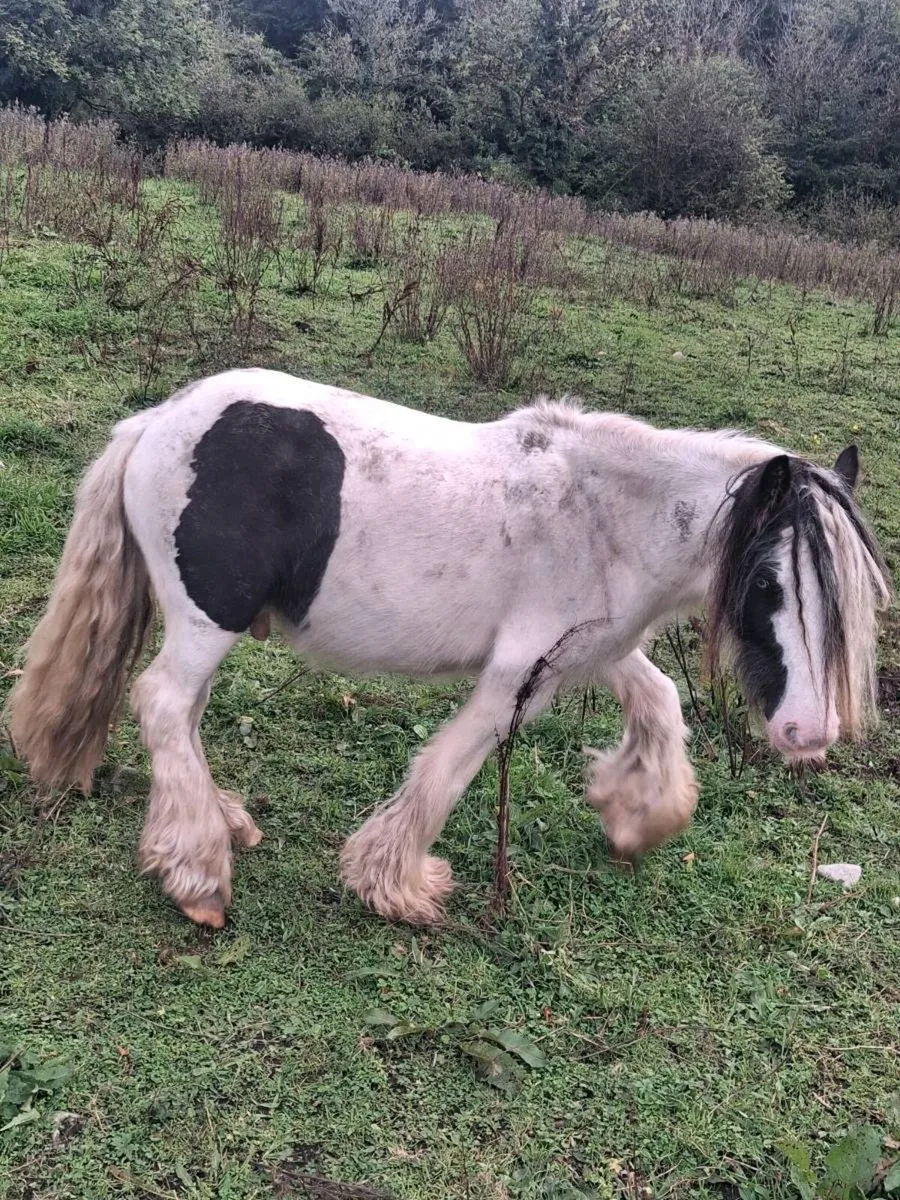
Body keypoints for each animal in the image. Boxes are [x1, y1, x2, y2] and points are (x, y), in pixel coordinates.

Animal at [5, 369, 892, 929]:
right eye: (769, 584)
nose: (810, 733)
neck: (605, 513)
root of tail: (156, 422)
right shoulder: (517, 672)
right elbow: (453, 764)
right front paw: (393, 883)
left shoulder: (590, 649)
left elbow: (658, 698)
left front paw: (639, 815)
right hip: (205, 620)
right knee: (164, 704)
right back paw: (197, 869)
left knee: (181, 718)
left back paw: (218, 822)